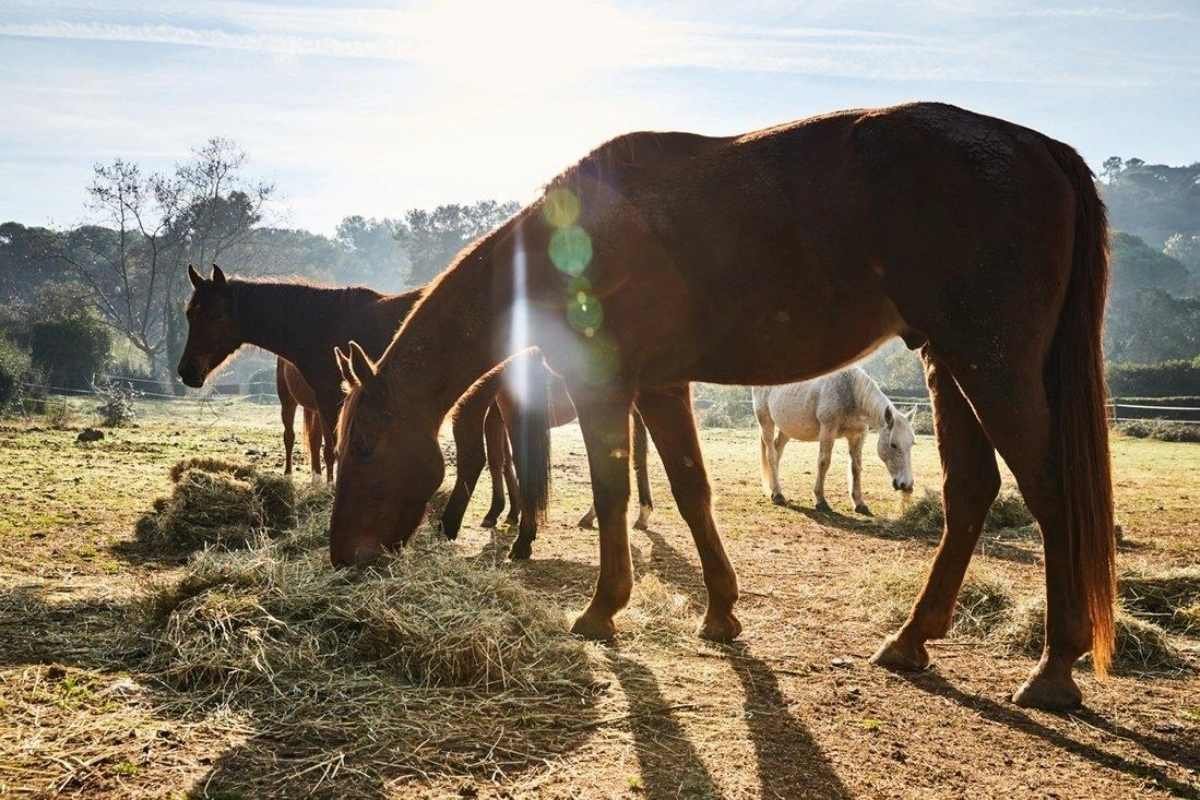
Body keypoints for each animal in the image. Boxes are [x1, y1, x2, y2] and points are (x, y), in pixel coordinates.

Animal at [753, 367, 915, 514]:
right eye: (893, 445)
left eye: (912, 444)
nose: (907, 485)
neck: (850, 392)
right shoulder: (828, 430)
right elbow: (824, 462)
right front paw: (821, 501)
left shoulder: (857, 436)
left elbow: (856, 467)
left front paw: (859, 503)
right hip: (766, 421)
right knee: (771, 454)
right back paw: (778, 495)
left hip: (787, 429)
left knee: (777, 451)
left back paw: (774, 489)